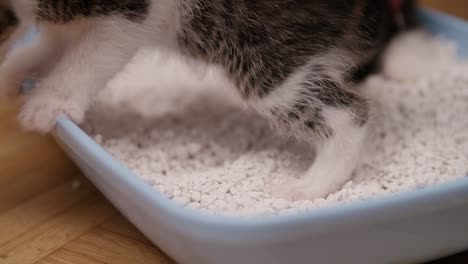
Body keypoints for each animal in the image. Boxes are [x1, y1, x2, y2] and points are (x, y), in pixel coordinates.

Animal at [0, 0, 414, 200]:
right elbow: (55, 40)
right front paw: (12, 72)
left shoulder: (135, 13)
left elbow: (88, 55)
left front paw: (49, 102)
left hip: (261, 46)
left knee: (347, 112)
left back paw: (312, 185)